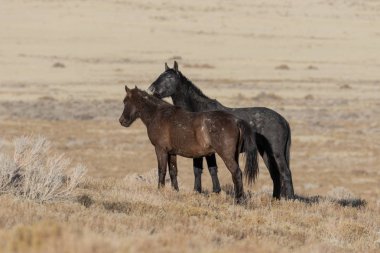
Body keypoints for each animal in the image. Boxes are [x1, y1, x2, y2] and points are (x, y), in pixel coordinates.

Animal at [120, 86, 260, 201]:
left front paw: (160, 191)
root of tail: (236, 121)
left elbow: (161, 170)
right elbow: (173, 171)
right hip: (234, 155)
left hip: (227, 156)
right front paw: (175, 191)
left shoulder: (160, 150)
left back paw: (238, 200)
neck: (158, 115)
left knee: (236, 173)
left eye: (126, 102)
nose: (122, 121)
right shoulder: (172, 152)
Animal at [148, 61, 294, 200]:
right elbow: (203, 169)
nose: (151, 89)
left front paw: (207, 191)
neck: (197, 111)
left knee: (285, 173)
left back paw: (290, 199)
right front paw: (207, 191)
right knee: (275, 174)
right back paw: (275, 199)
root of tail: (283, 120)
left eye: (169, 77)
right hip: (266, 152)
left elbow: (206, 169)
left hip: (276, 152)